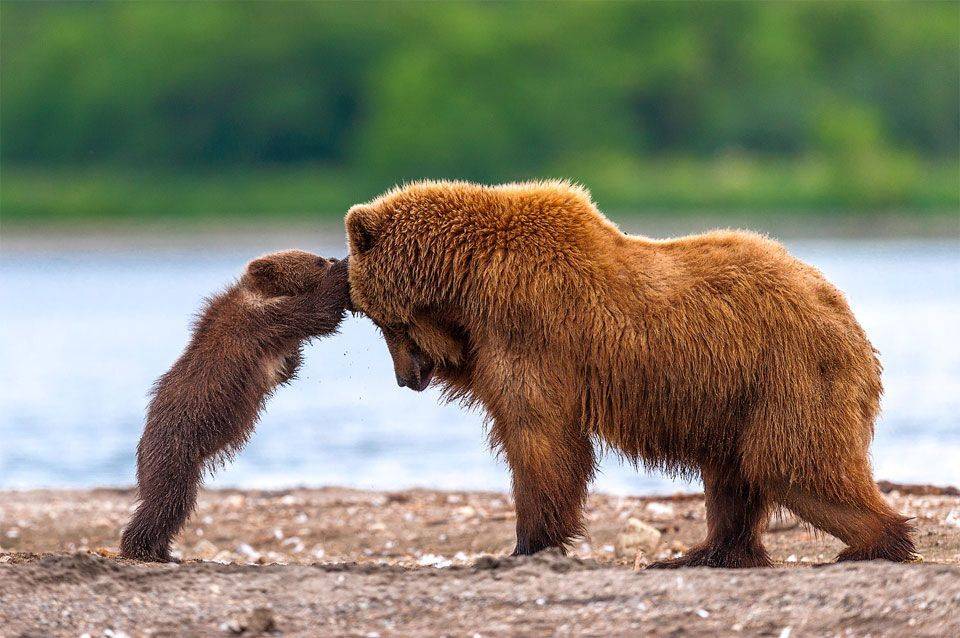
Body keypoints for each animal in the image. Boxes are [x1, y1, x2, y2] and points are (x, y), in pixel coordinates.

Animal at [344, 180, 916, 568]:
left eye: (381, 320)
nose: (406, 377)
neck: (467, 279)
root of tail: (847, 316)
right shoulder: (492, 338)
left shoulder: (529, 327)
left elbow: (539, 438)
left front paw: (528, 542)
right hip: (738, 395)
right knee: (735, 475)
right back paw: (705, 551)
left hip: (789, 374)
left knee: (793, 463)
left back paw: (874, 542)